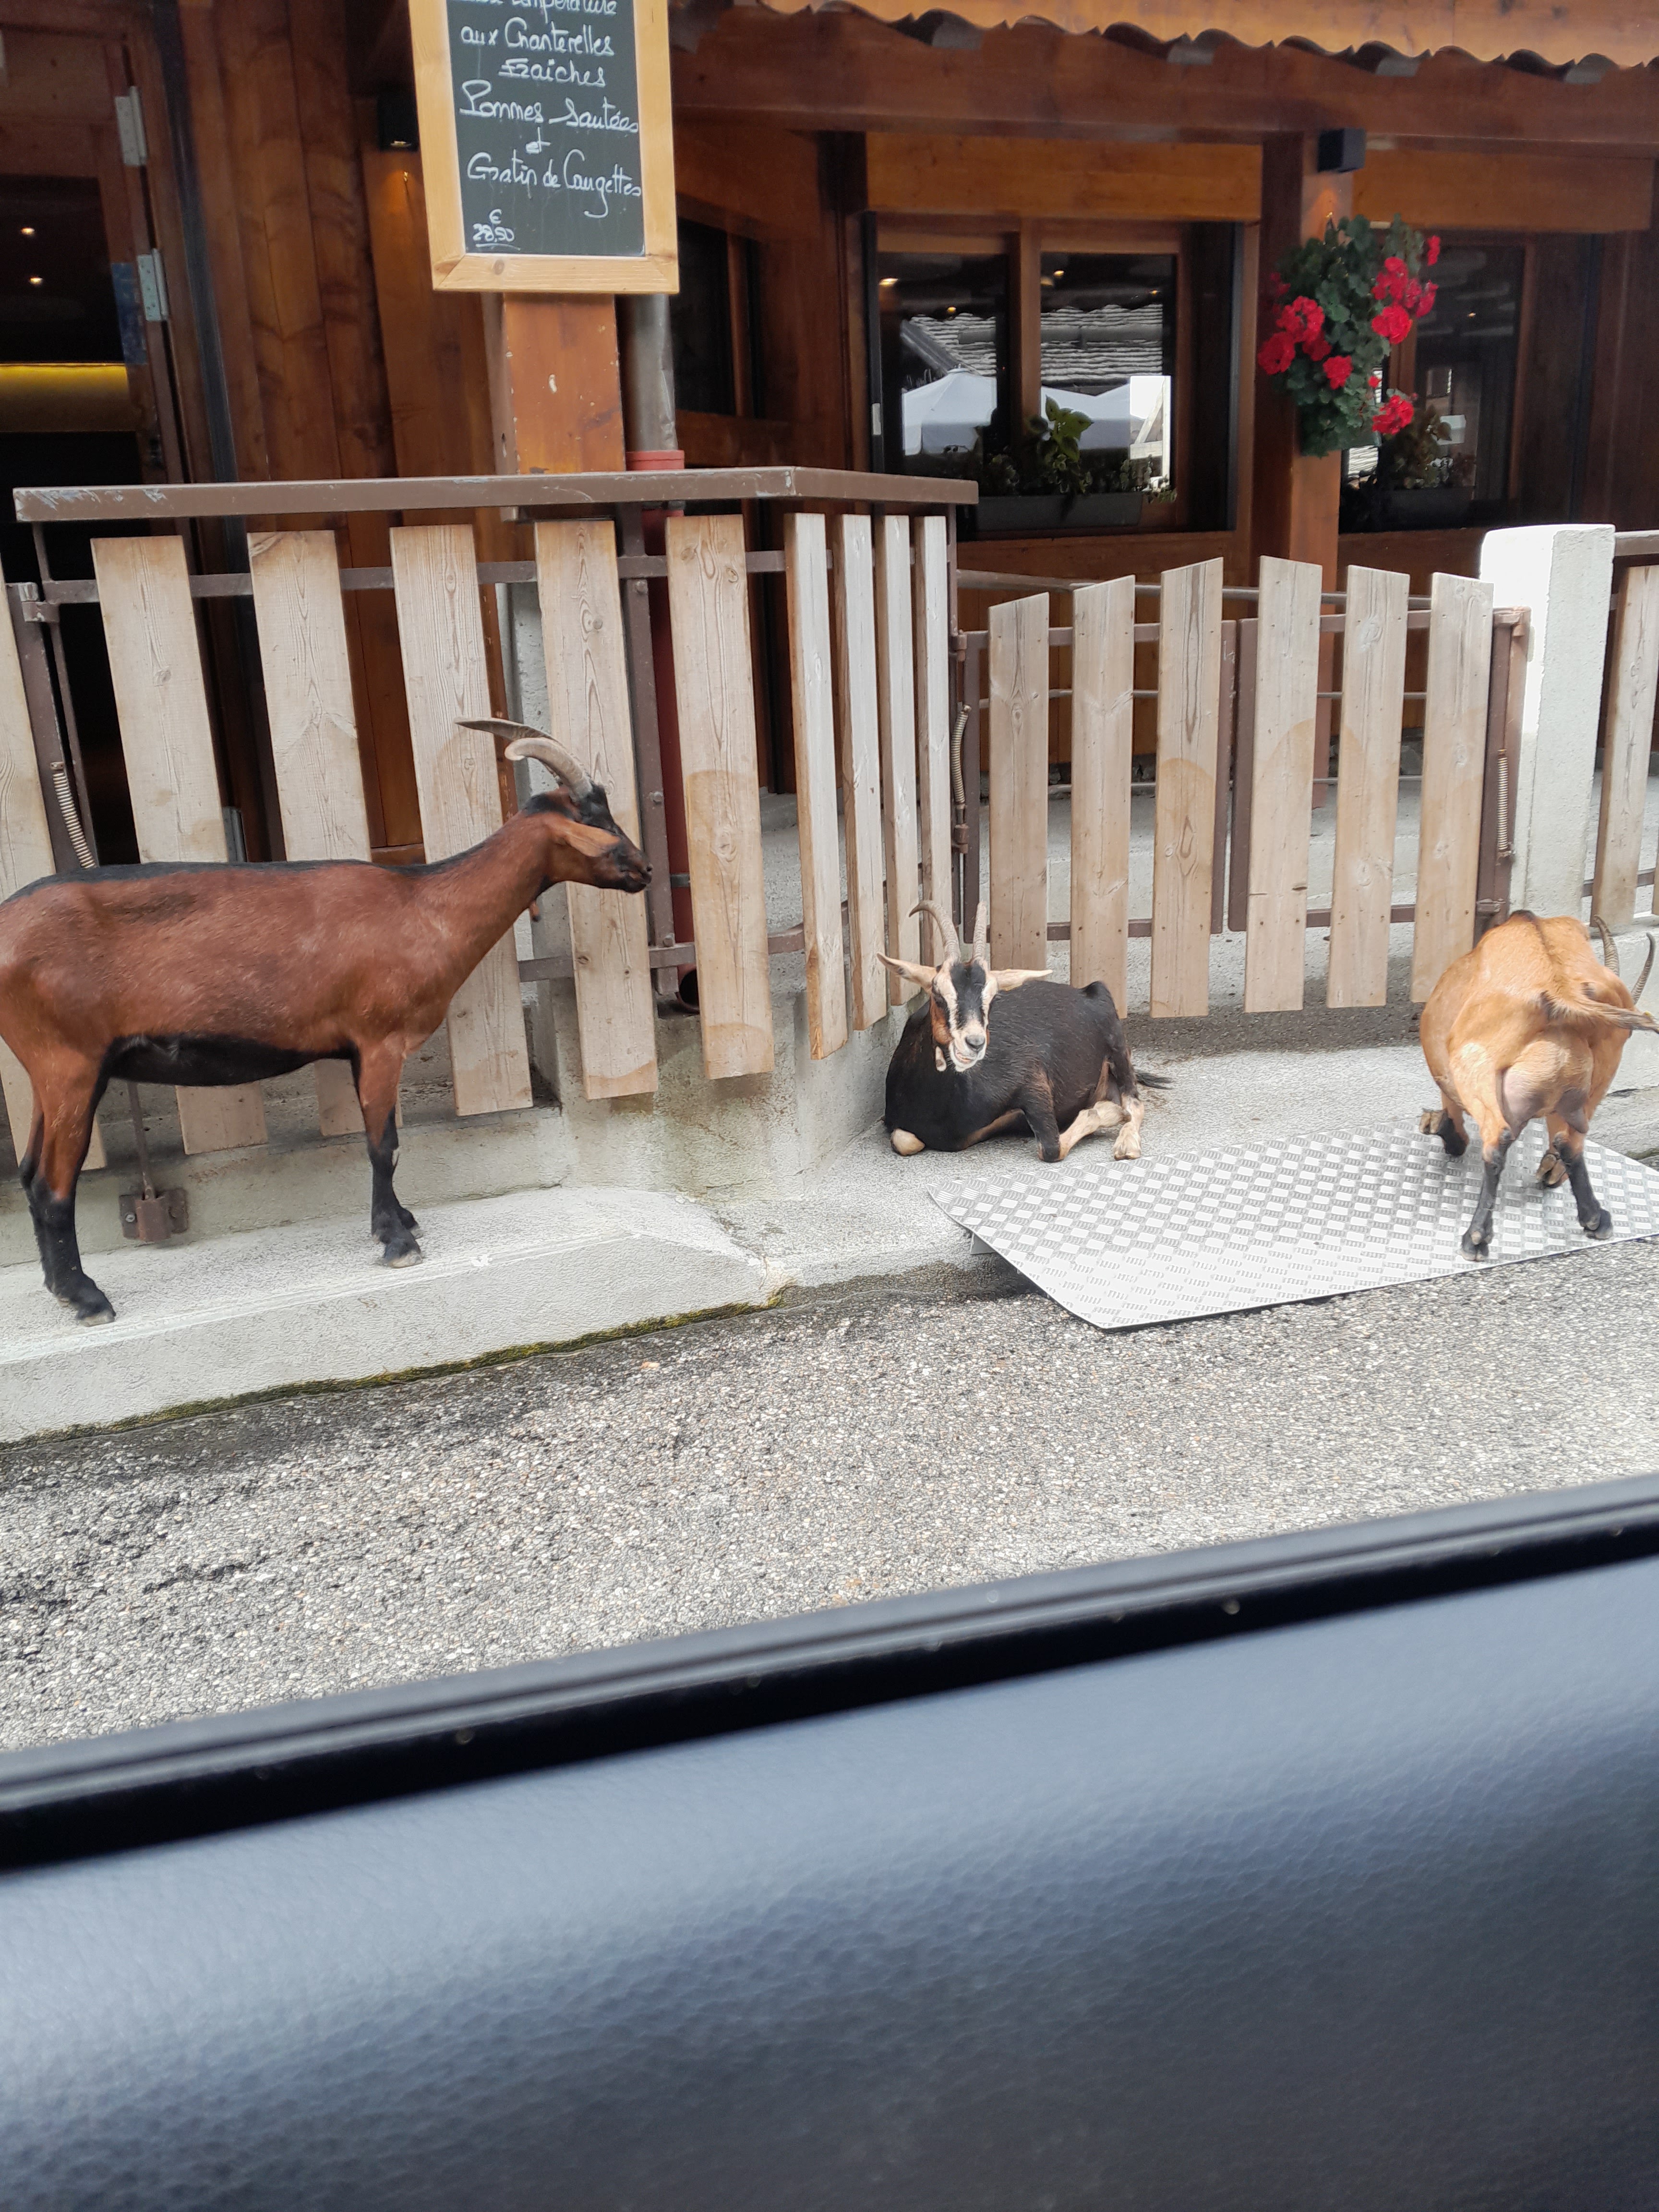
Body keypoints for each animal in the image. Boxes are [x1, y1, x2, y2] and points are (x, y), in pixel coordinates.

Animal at [0, 721, 648, 1324]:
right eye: (600, 822)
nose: (643, 870)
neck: (424, 905)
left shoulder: (362, 1049)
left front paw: (402, 1219)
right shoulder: (381, 1040)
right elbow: (383, 1144)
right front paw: (397, 1240)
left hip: (51, 1070)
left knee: (31, 1172)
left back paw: (60, 1287)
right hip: (70, 1061)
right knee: (51, 1183)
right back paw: (87, 1297)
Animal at [881, 900, 1159, 1163]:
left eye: (993, 998)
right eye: (937, 994)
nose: (974, 1043)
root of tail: (1088, 992)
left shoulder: (1032, 1080)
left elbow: (1052, 1148)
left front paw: (1106, 1111)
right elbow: (906, 1141)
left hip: (1117, 1049)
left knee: (1134, 1102)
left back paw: (1126, 1144)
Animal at [1419, 910, 1657, 1259]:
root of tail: (1561, 993)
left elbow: (1455, 1126)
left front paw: (1439, 1127)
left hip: (1474, 1064)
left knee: (1498, 1139)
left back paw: (1476, 1238)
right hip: (1602, 1068)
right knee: (1572, 1140)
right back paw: (1595, 1218)